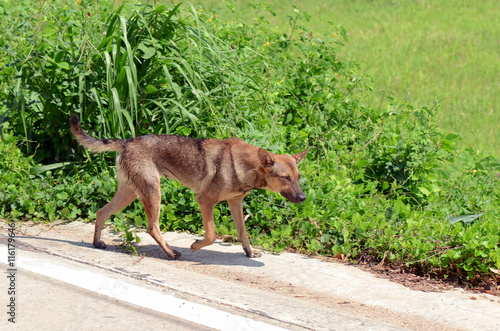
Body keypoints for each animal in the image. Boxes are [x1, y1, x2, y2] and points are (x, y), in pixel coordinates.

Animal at [70, 115, 308, 260]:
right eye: (285, 178)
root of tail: (127, 141)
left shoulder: (235, 203)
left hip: (129, 193)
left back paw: (97, 243)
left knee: (101, 212)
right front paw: (195, 245)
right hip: (153, 194)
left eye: (298, 177)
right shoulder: (204, 200)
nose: (303, 198)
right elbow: (211, 235)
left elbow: (243, 233)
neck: (246, 166)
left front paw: (249, 253)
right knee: (152, 227)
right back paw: (170, 253)